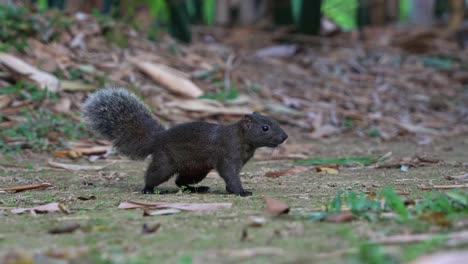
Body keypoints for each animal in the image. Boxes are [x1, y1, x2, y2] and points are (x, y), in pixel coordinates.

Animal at [82, 88, 288, 196]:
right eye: (265, 128)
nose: (285, 137)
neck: (241, 138)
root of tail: (158, 139)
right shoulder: (228, 155)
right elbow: (230, 175)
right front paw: (241, 192)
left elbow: (231, 177)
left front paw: (233, 190)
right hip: (165, 163)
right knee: (155, 176)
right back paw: (148, 189)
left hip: (196, 169)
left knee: (180, 181)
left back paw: (198, 188)